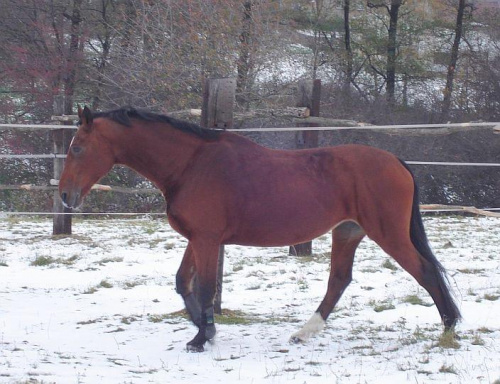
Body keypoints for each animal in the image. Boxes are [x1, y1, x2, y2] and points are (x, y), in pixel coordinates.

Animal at [59, 106, 460, 352]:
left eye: (77, 148)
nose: (64, 195)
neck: (191, 164)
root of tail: (396, 161)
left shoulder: (207, 239)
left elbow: (205, 287)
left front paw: (201, 338)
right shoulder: (198, 238)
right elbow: (183, 282)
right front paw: (204, 329)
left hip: (387, 233)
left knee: (424, 271)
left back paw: (449, 327)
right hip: (347, 231)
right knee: (339, 280)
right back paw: (303, 332)